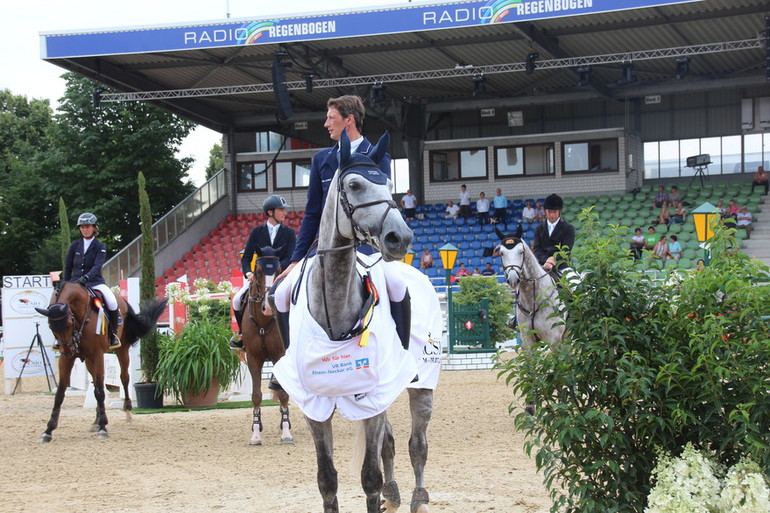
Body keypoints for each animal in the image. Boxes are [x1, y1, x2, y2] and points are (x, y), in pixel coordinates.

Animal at [35, 280, 166, 440]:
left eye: (69, 323)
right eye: (51, 327)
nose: (68, 350)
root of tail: (122, 299)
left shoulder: (96, 354)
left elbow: (100, 392)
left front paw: (103, 428)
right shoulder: (68, 359)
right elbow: (60, 393)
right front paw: (48, 430)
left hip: (121, 350)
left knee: (124, 378)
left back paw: (127, 412)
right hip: (89, 360)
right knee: (97, 383)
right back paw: (96, 421)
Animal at [243, 247, 294, 444]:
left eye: (279, 269)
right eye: (258, 271)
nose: (267, 307)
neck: (264, 322)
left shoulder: (279, 354)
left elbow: (284, 394)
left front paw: (286, 432)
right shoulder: (253, 358)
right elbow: (256, 395)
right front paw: (256, 433)